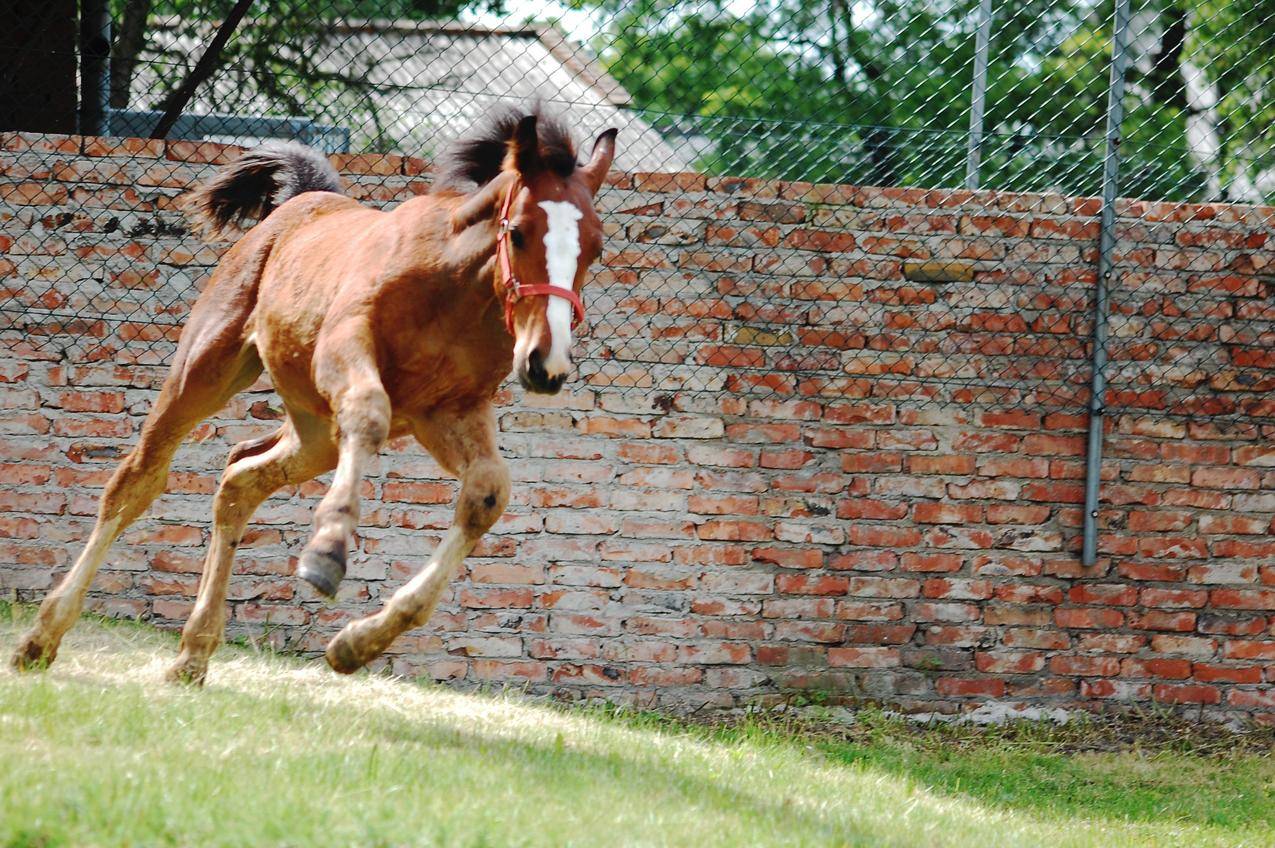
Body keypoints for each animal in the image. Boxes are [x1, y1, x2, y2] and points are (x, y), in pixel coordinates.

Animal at [11, 107, 617, 688]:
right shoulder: (346, 353)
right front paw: (326, 556)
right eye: (518, 232)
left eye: (594, 247)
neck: (452, 293)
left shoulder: (449, 411)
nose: (546, 364)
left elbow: (488, 492)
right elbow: (371, 416)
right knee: (137, 481)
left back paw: (193, 654)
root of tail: (299, 202)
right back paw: (41, 639)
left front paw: (357, 644)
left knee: (240, 480)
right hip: (206, 371)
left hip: (316, 430)